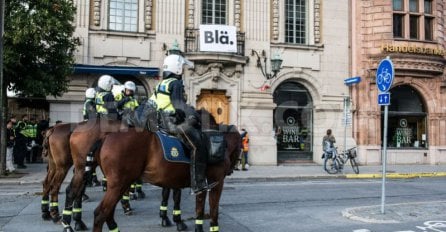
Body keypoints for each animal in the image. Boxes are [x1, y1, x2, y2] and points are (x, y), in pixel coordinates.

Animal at [92, 111, 242, 231]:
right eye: (240, 147)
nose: (232, 169)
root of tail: (106, 137)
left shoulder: (198, 183)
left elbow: (198, 208)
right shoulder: (216, 182)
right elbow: (213, 211)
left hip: (121, 185)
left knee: (109, 214)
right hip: (119, 184)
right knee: (101, 214)